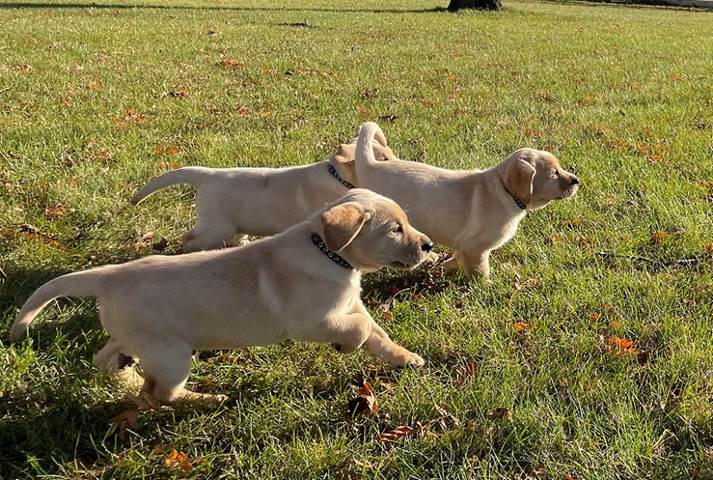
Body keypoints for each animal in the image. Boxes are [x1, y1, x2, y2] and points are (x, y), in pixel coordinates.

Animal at [11, 189, 434, 406]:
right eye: (395, 229)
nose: (428, 245)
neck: (327, 251)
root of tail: (111, 275)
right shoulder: (311, 321)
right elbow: (361, 329)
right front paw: (347, 346)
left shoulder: (350, 306)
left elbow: (377, 333)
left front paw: (405, 358)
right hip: (172, 354)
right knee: (161, 393)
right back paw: (205, 398)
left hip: (135, 337)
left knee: (109, 360)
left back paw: (127, 380)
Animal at [352, 123, 580, 278]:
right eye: (554, 173)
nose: (577, 180)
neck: (505, 190)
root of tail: (371, 165)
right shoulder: (476, 248)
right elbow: (481, 272)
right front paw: (487, 287)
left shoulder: (463, 245)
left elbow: (457, 258)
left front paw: (445, 266)